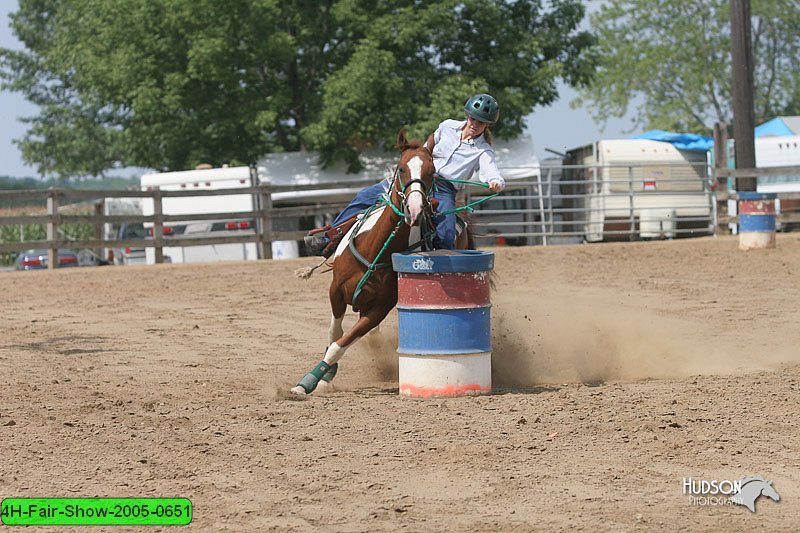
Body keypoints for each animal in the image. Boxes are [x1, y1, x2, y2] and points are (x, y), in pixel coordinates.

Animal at [290, 129, 440, 396]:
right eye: (402, 168)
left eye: (431, 171)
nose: (414, 209)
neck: (374, 250)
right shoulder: (335, 291)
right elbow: (334, 334)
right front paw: (322, 377)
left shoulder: (378, 310)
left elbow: (341, 344)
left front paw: (311, 381)